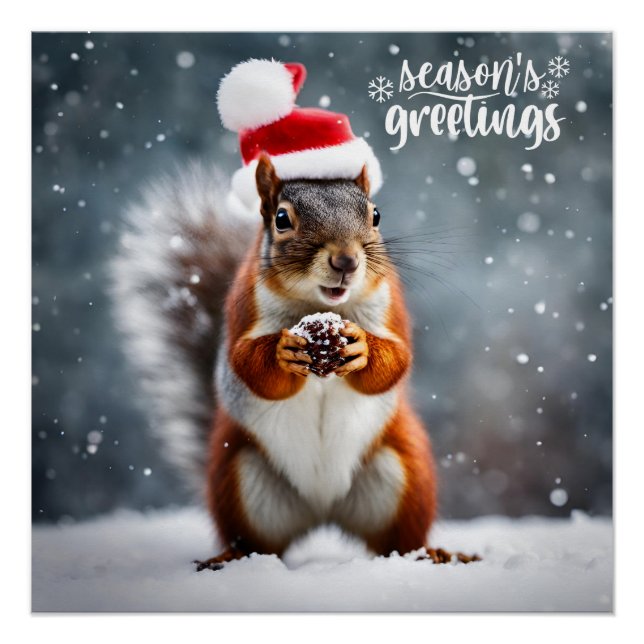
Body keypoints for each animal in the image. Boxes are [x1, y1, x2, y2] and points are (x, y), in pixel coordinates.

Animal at [111, 59, 479, 569]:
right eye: (282, 219)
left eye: (376, 215)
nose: (346, 261)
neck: (321, 304)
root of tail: (322, 512)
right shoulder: (242, 307)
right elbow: (242, 362)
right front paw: (282, 351)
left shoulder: (392, 304)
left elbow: (398, 357)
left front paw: (363, 349)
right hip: (239, 475)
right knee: (255, 542)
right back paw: (227, 557)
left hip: (403, 472)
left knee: (398, 539)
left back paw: (433, 552)